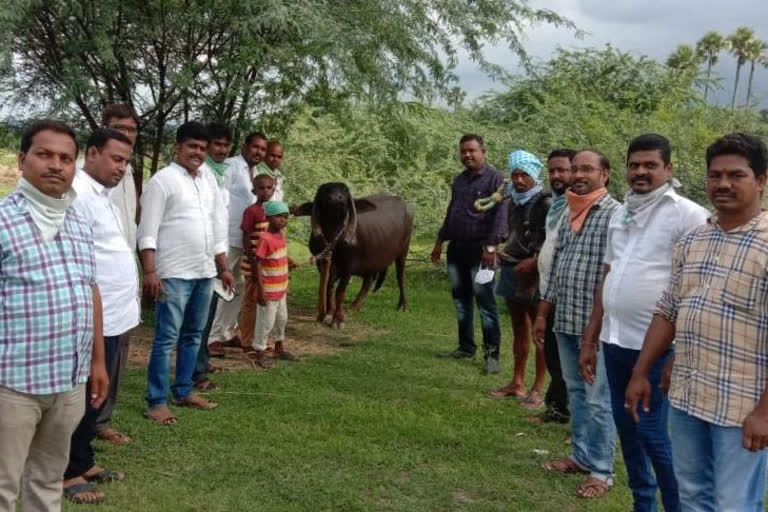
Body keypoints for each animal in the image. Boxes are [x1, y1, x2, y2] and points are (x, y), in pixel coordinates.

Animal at [294, 183, 414, 328]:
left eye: (344, 192)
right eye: (325, 191)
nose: (336, 198)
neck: (333, 236)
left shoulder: (348, 266)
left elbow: (340, 291)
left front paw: (338, 320)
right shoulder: (321, 262)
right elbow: (328, 287)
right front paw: (329, 312)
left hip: (403, 251)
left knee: (400, 276)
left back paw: (403, 305)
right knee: (369, 279)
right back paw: (355, 306)